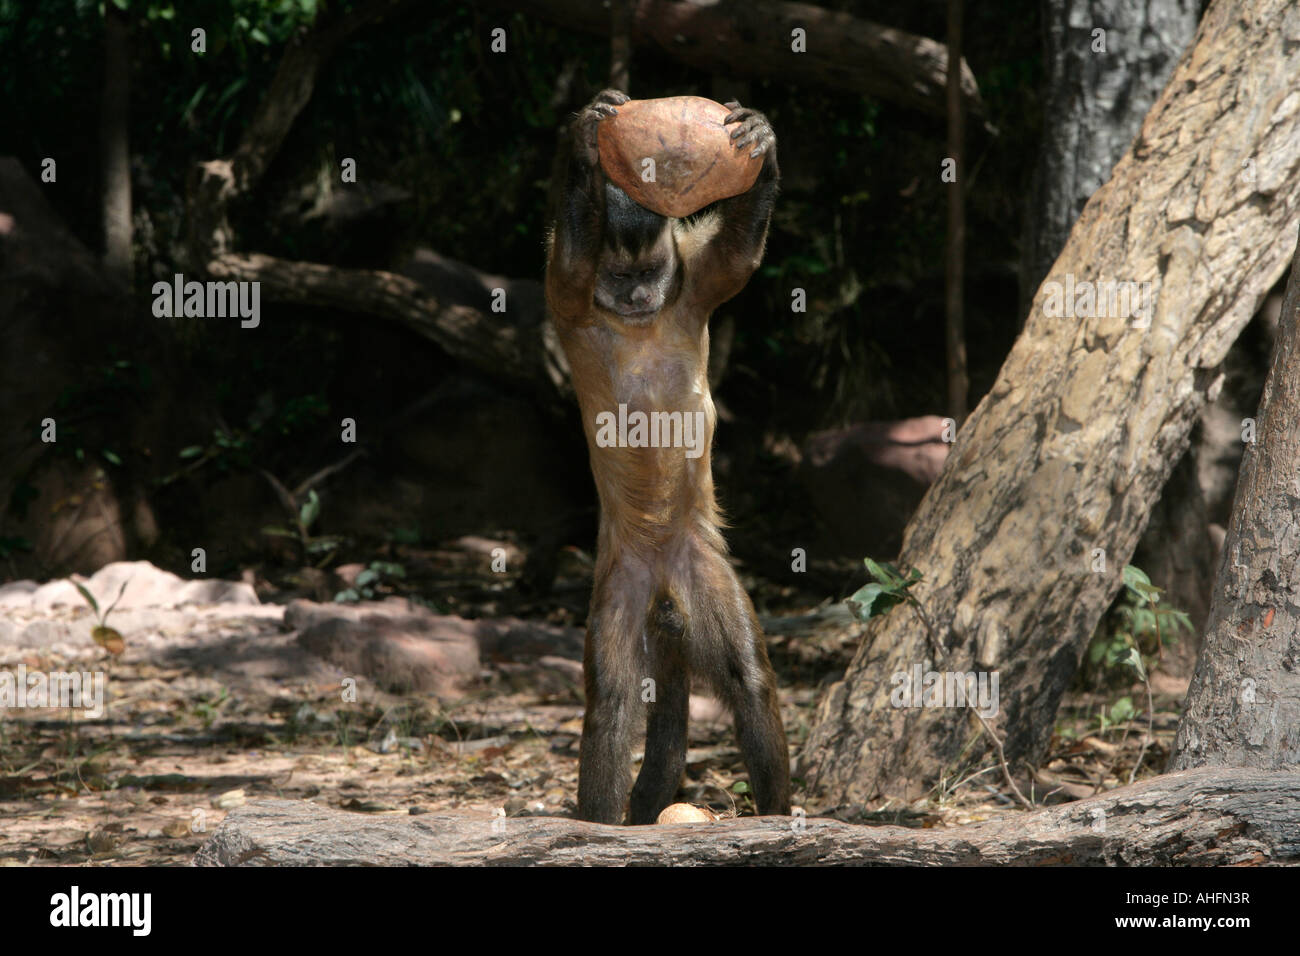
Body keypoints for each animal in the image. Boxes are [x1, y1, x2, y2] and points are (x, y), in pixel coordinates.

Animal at [540, 85, 785, 827]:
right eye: (621, 277)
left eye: (649, 272)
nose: (641, 295)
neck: (639, 320)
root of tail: (661, 581)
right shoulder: (569, 304)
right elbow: (571, 266)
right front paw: (586, 140)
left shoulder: (692, 289)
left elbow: (737, 260)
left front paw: (761, 144)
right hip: (620, 577)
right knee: (614, 704)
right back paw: (596, 824)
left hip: (699, 563)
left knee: (748, 679)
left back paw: (780, 815)